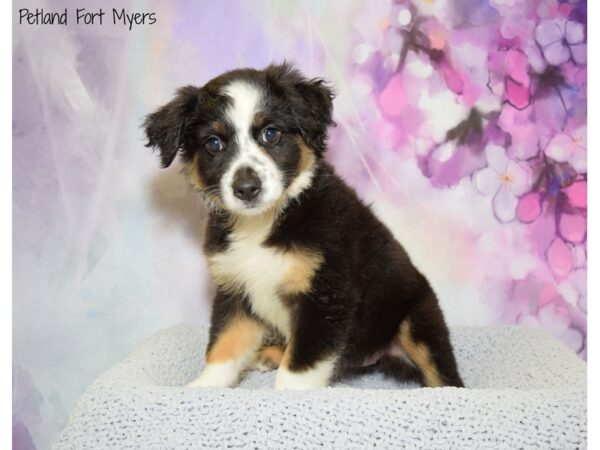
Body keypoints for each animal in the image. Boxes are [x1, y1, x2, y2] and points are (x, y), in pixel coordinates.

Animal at [144, 63, 464, 390]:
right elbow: (224, 345)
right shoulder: (235, 290)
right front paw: (203, 387)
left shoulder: (325, 297)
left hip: (417, 321)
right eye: (213, 143)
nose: (247, 189)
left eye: (270, 133)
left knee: (444, 375)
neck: (263, 224)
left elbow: (299, 367)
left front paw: (289, 394)